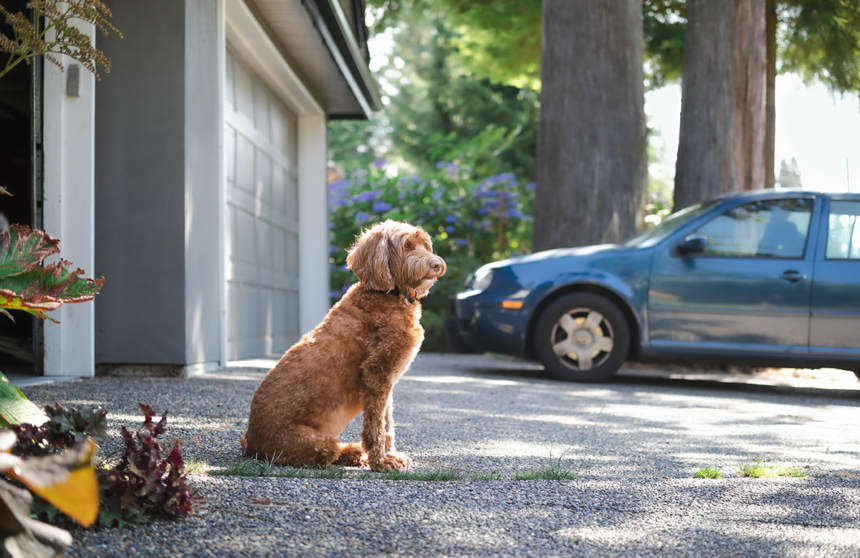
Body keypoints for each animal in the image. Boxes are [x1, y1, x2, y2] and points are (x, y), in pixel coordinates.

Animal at [239, 222, 446, 472]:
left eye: (424, 244)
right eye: (407, 246)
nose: (437, 264)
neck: (387, 294)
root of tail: (251, 442)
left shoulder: (386, 383)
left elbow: (387, 423)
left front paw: (388, 455)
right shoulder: (376, 376)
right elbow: (376, 427)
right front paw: (381, 461)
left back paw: (354, 452)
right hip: (313, 442)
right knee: (326, 454)